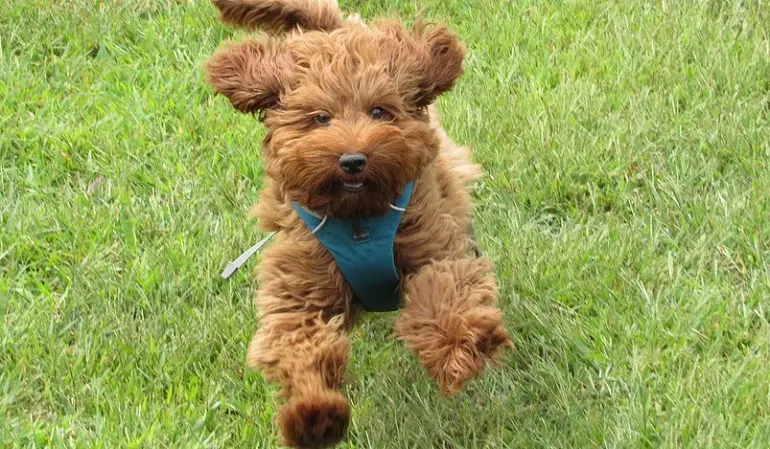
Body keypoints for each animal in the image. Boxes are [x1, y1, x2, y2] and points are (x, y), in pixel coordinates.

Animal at [206, 1, 510, 446]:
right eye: (320, 118)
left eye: (379, 111)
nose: (353, 160)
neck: (357, 219)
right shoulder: (301, 285)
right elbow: (301, 345)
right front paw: (315, 416)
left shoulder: (429, 242)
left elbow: (442, 292)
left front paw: (464, 347)